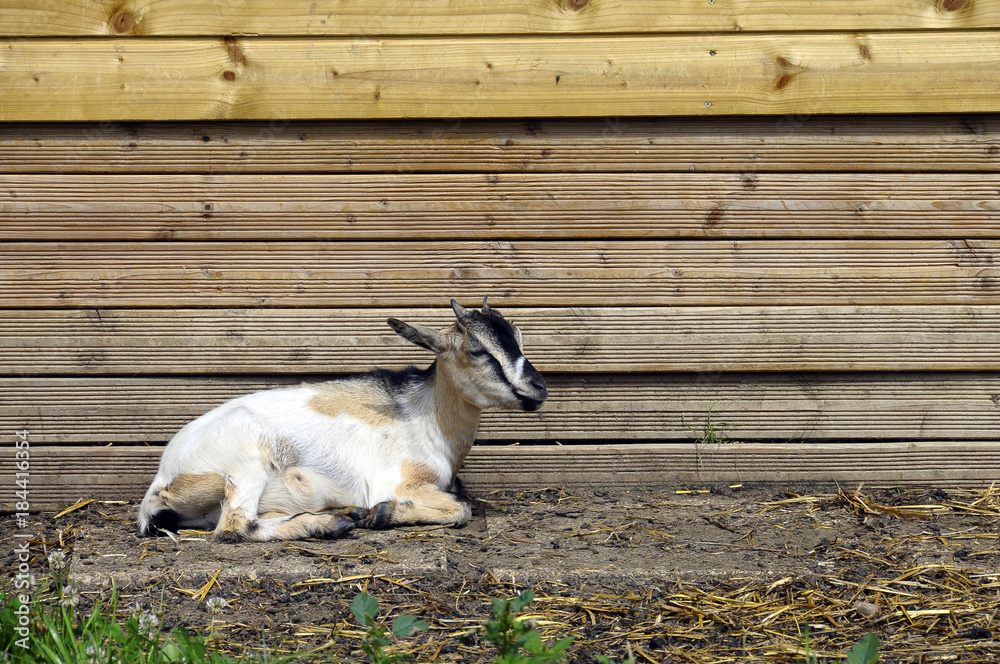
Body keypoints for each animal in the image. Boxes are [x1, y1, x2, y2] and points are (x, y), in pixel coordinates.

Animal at [137, 298, 547, 542]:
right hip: (246, 459)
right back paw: (331, 522)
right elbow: (460, 508)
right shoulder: (398, 480)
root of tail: (162, 481)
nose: (539, 387)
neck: (424, 416)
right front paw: (383, 513)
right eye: (477, 349)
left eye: (519, 337)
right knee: (235, 527)